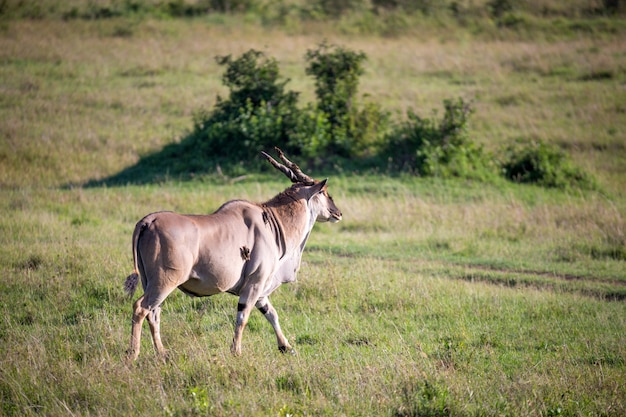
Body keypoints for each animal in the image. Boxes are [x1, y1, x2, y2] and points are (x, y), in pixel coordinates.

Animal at [122, 148, 342, 360]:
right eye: (324, 192)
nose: (337, 213)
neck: (271, 221)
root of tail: (148, 221)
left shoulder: (260, 291)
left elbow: (271, 314)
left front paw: (286, 347)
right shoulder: (255, 284)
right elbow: (243, 317)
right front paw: (236, 351)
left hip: (151, 283)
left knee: (154, 313)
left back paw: (162, 352)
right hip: (164, 282)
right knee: (141, 308)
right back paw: (133, 353)